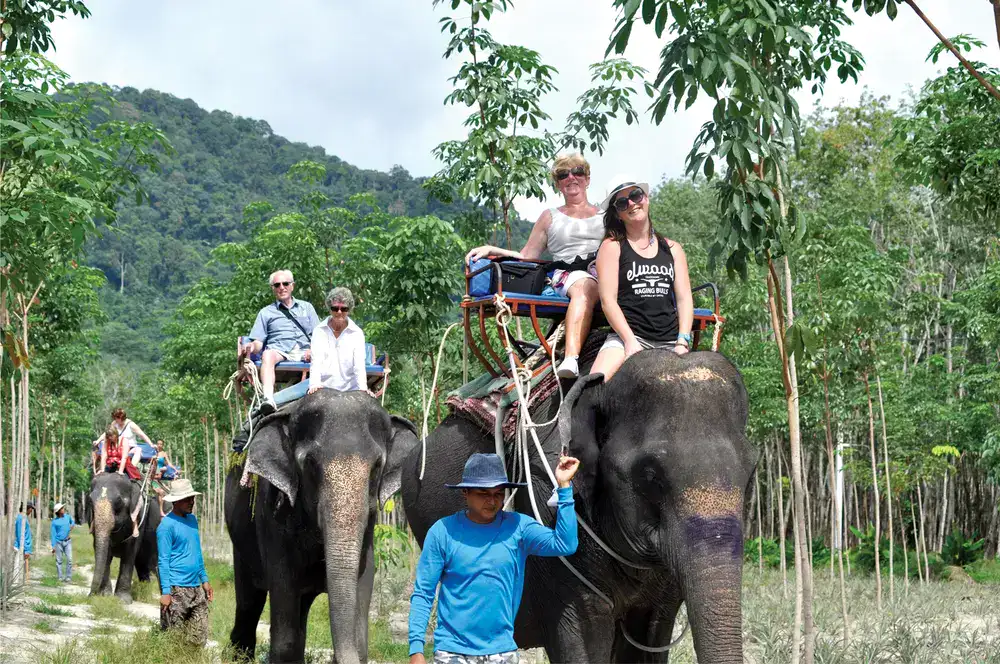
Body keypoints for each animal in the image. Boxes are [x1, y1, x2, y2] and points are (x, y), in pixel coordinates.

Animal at [88, 472, 160, 600]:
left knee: (150, 561)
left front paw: (123, 600)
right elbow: (102, 550)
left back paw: (150, 591)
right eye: (90, 500)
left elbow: (130, 551)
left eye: (119, 501)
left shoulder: (139, 518)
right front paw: (105, 596)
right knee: (142, 563)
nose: (91, 595)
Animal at [226, 390, 418, 664]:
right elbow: (284, 629)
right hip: (241, 542)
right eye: (310, 464)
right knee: (248, 604)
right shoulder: (272, 514)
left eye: (377, 467)